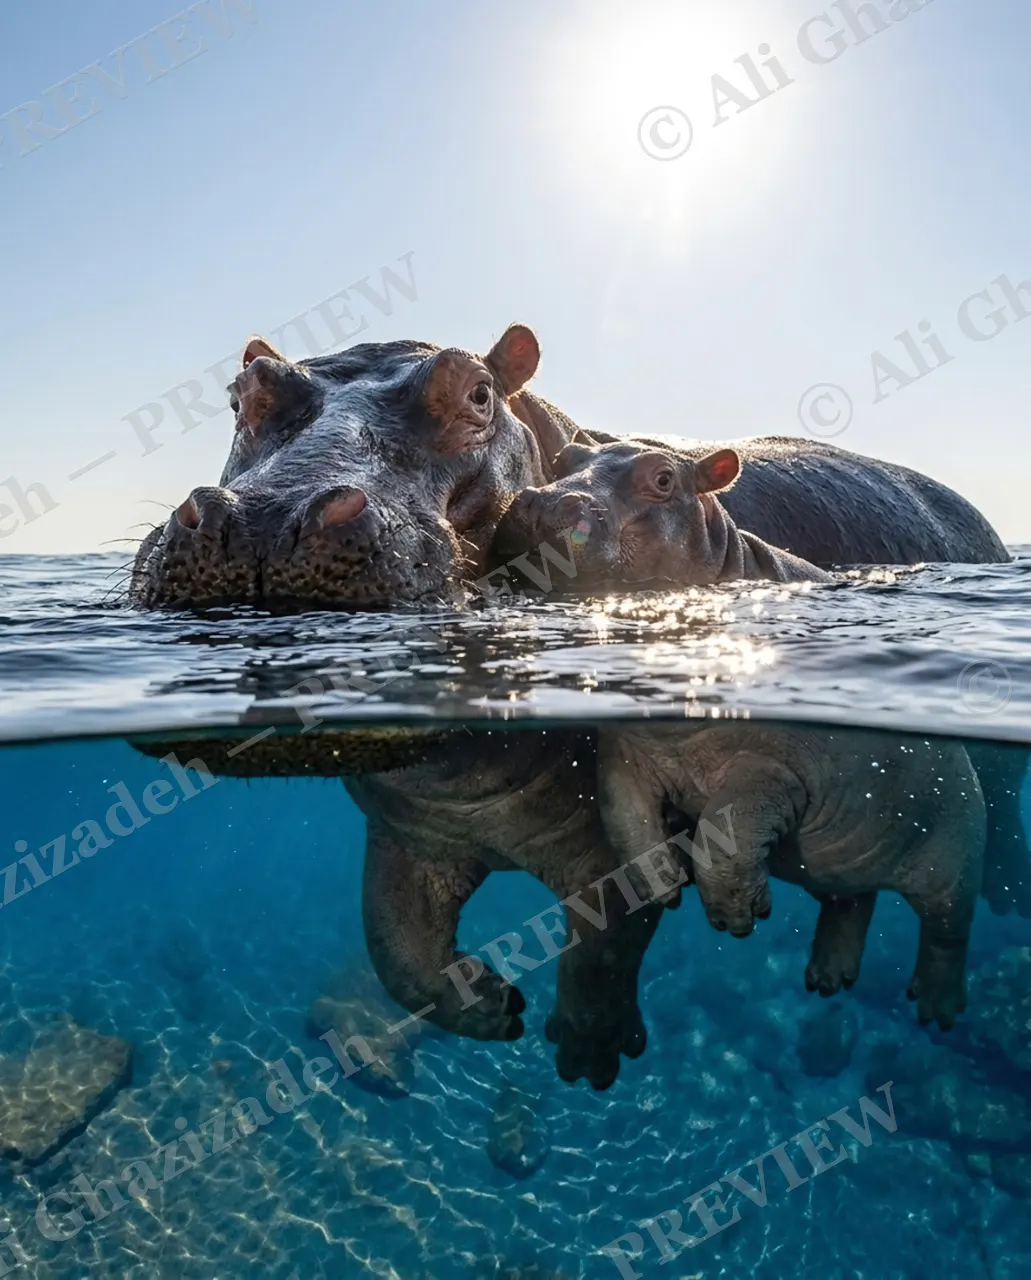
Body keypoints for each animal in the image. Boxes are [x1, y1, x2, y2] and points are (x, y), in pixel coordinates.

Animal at [597, 723, 986, 1030]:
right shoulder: (628, 753)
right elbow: (622, 809)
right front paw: (663, 888)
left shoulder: (773, 769)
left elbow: (725, 823)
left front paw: (737, 921)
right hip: (837, 869)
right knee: (853, 903)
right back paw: (827, 980)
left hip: (953, 864)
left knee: (948, 931)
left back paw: (936, 1011)